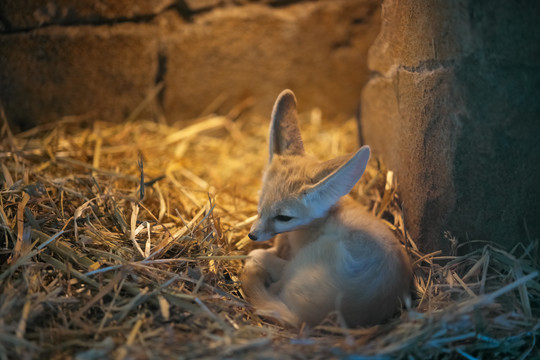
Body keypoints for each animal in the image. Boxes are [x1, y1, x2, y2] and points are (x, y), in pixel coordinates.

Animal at [243, 89, 412, 326]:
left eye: (284, 217)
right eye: (260, 206)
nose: (252, 235)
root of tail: (306, 319)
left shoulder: (291, 258)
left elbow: (264, 256)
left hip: (301, 265)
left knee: (272, 283)